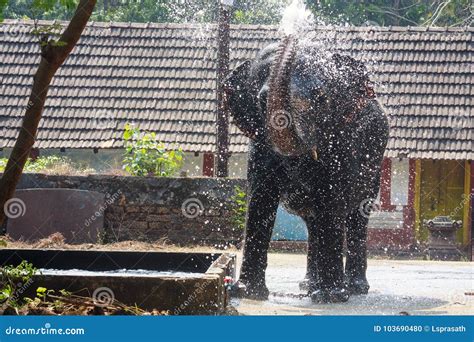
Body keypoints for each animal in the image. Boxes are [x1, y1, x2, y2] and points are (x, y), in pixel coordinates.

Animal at [224, 34, 390, 302]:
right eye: (262, 101)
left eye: (321, 99)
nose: (291, 36)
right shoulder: (260, 146)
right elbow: (260, 198)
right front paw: (249, 293)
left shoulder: (341, 142)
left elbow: (331, 198)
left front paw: (333, 297)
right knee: (314, 223)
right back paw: (309, 287)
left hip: (375, 166)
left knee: (357, 215)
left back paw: (353, 289)